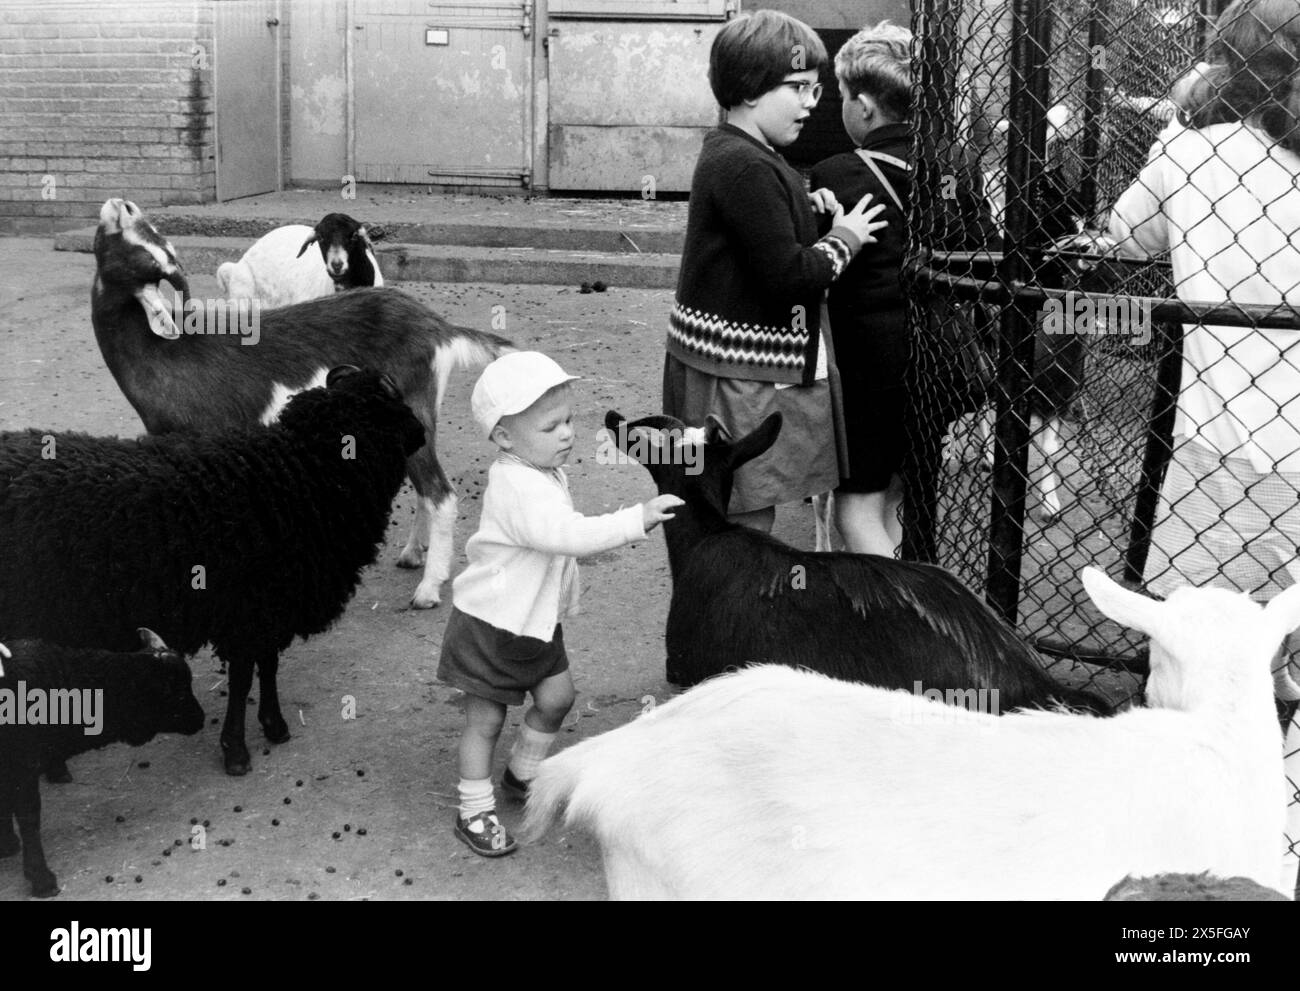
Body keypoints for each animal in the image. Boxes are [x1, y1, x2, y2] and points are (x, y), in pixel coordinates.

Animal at [0, 364, 426, 769]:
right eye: (395, 403)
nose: (423, 434)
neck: (297, 474)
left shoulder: (267, 610)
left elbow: (267, 666)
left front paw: (274, 726)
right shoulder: (246, 614)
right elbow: (242, 680)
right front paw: (236, 749)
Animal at [0, 629, 202, 899]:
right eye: (177, 693)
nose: (200, 719)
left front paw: (7, 843)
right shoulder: (24, 765)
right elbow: (29, 818)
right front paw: (41, 878)